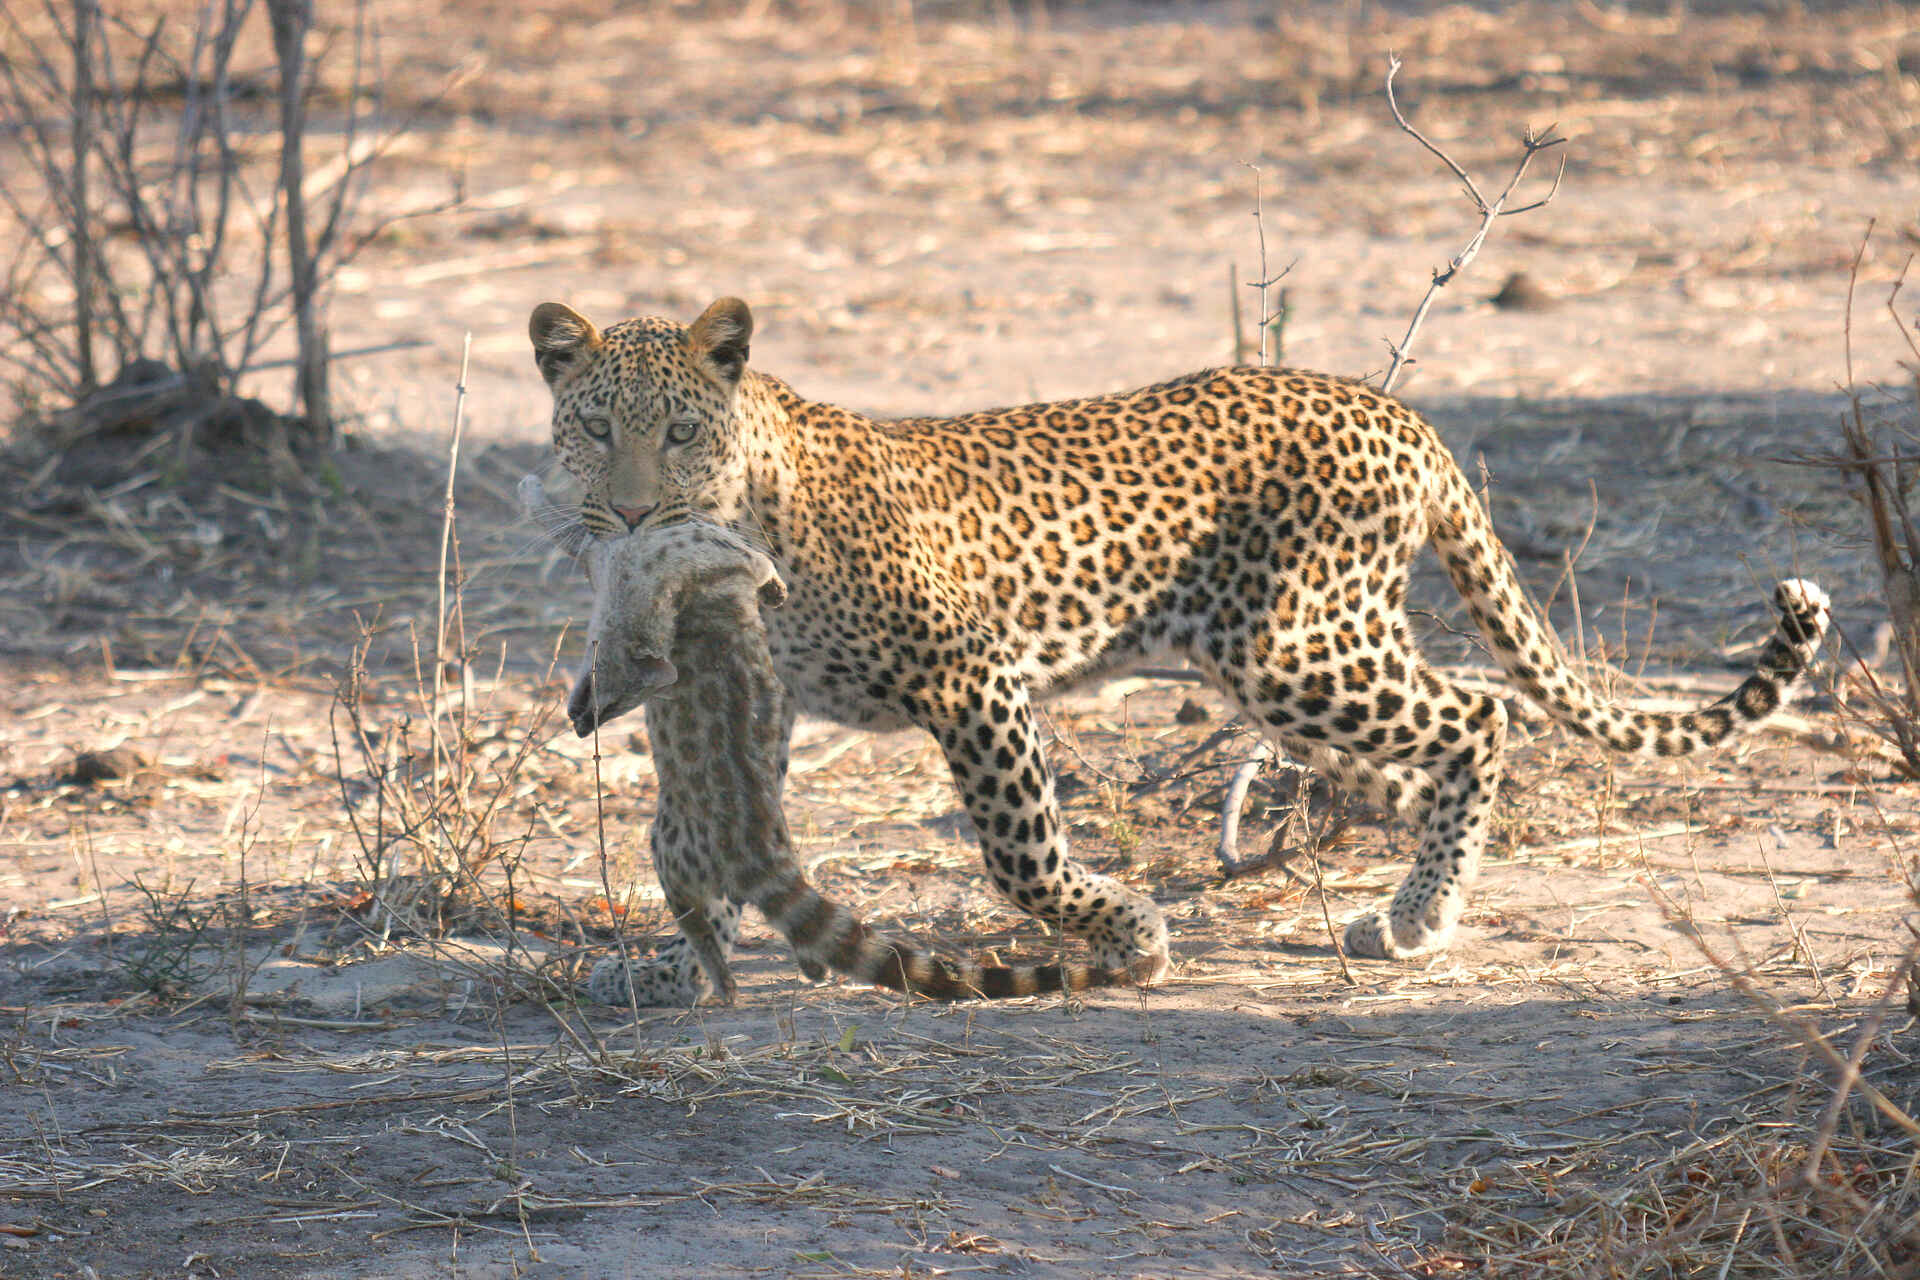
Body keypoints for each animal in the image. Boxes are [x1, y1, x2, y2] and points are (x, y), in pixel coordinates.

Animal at [560, 512, 1154, 1005]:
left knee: (696, 912)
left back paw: (720, 976)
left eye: (620, 697)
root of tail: (755, 848)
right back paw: (806, 964)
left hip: (674, 850)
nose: (582, 720)